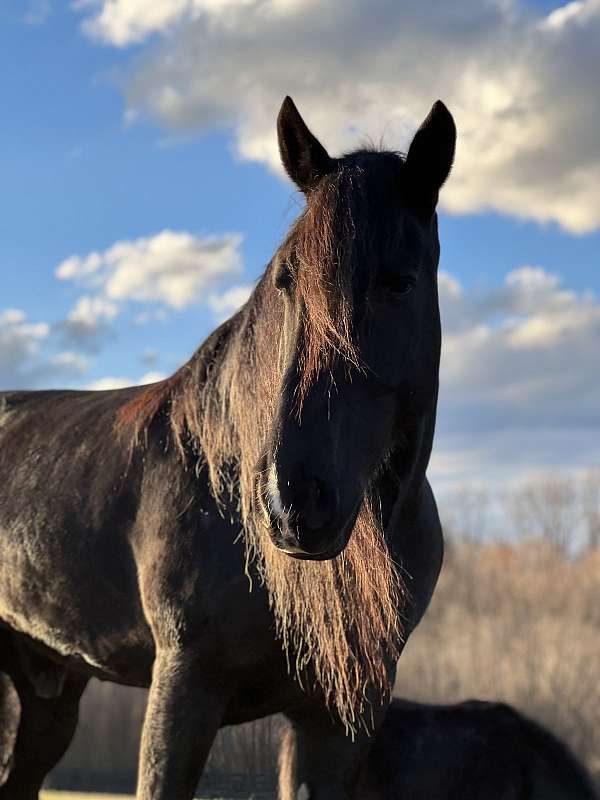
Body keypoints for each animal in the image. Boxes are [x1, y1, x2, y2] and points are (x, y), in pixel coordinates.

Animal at [0, 95, 454, 800]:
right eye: (287, 282)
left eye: (399, 283)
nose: (294, 505)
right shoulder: (185, 685)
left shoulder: (335, 720)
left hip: (48, 688)